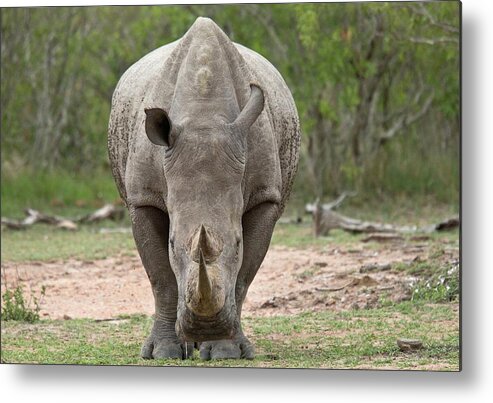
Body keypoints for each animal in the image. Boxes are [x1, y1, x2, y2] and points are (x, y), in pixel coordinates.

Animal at [108, 17, 300, 362]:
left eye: (237, 243)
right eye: (172, 244)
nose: (204, 327)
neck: (204, 116)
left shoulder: (265, 195)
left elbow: (244, 276)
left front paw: (225, 351)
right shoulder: (142, 197)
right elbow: (161, 277)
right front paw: (165, 353)